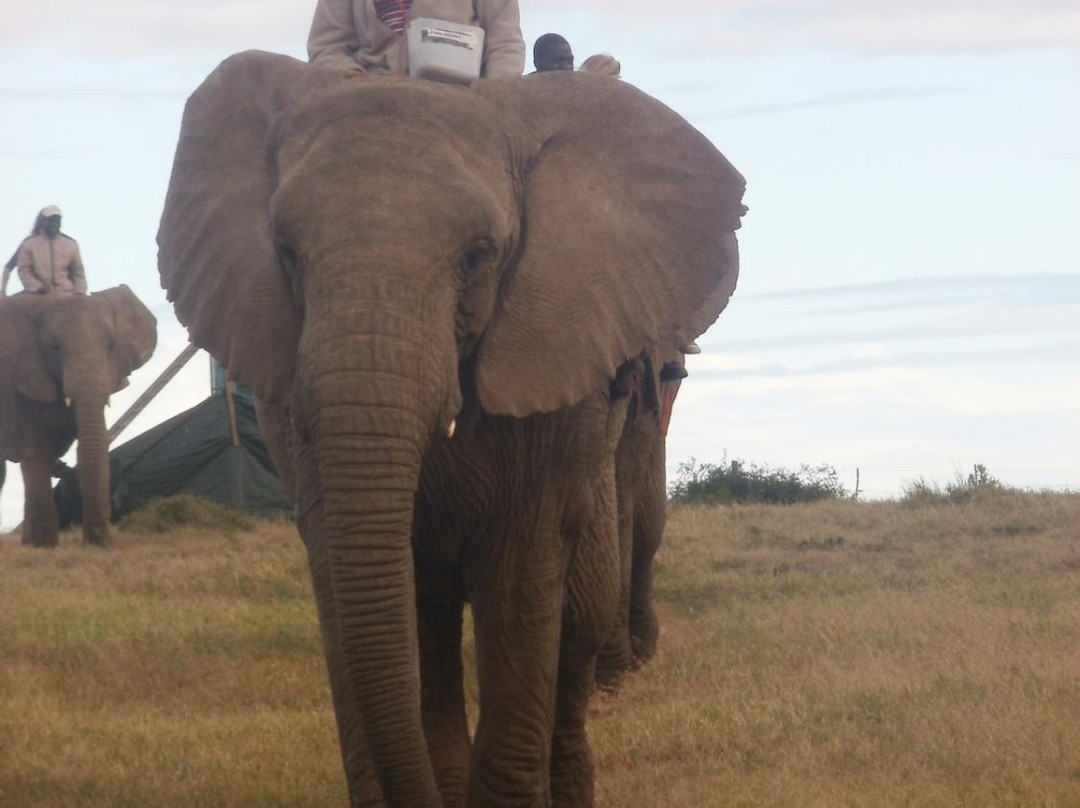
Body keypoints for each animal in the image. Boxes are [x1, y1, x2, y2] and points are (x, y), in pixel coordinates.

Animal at [0, 287, 157, 547]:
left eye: (111, 346)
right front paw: (43, 547)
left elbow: (94, 442)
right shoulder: (22, 385)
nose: (97, 543)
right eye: (54, 347)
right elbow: (36, 453)